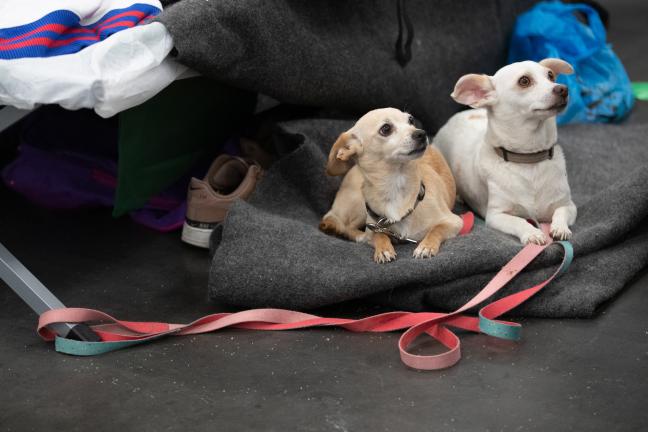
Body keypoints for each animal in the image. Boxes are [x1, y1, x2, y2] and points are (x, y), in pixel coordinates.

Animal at [318, 108, 460, 264]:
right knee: (347, 226)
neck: (396, 187)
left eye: (411, 120)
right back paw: (360, 236)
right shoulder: (374, 227)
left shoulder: (454, 222)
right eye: (386, 129)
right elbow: (378, 235)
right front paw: (383, 249)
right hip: (359, 203)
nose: (421, 133)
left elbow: (436, 229)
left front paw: (426, 247)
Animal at [436, 59, 576, 245]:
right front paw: (532, 232)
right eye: (524, 81)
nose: (563, 89)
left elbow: (561, 211)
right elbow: (518, 221)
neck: (529, 159)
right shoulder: (496, 216)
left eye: (551, 76)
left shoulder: (569, 206)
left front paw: (560, 228)